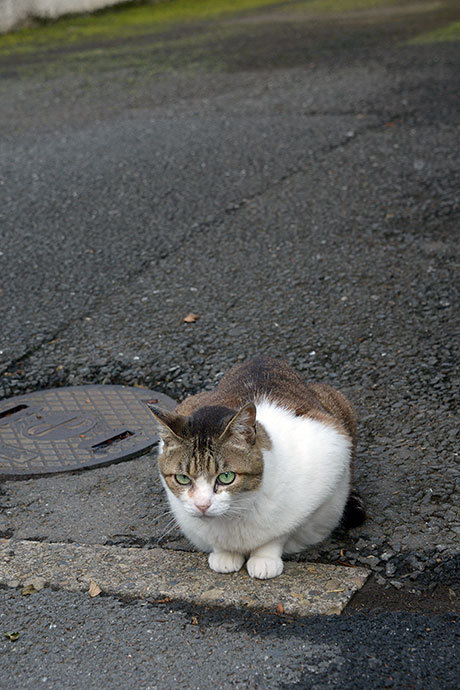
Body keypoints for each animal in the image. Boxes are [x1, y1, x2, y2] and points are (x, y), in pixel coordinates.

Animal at [149, 354, 364, 576]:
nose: (202, 505)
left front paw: (264, 558)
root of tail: (262, 358)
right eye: (182, 478)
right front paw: (225, 553)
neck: (236, 512)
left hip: (339, 405)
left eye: (226, 477)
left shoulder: (330, 445)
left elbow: (279, 533)